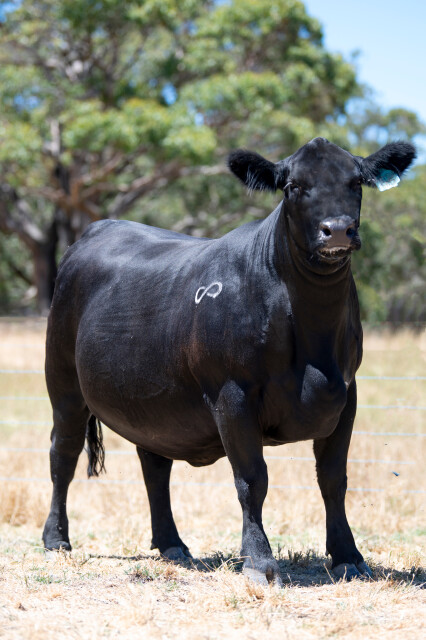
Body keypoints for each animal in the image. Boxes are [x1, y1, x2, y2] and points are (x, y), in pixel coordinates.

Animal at [42, 137, 415, 585]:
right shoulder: (232, 393)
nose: (338, 230)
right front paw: (259, 560)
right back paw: (56, 539)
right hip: (63, 382)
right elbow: (252, 479)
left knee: (154, 465)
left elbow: (333, 478)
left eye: (356, 182)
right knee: (63, 453)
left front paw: (348, 555)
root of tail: (98, 228)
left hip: (151, 399)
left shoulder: (347, 392)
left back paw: (172, 544)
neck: (315, 345)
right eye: (293, 186)